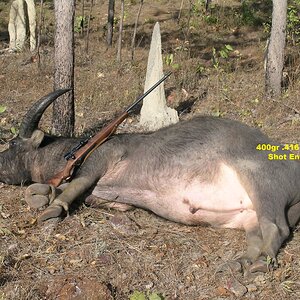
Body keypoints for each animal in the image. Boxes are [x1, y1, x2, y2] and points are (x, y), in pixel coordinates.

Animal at [0, 89, 300, 272]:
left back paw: (260, 264)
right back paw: (240, 262)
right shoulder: (110, 199)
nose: (0, 163)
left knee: (277, 228)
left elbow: (75, 184)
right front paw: (43, 192)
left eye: (13, 143)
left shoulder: (102, 159)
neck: (73, 150)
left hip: (262, 185)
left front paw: (52, 206)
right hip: (248, 216)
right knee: (257, 236)